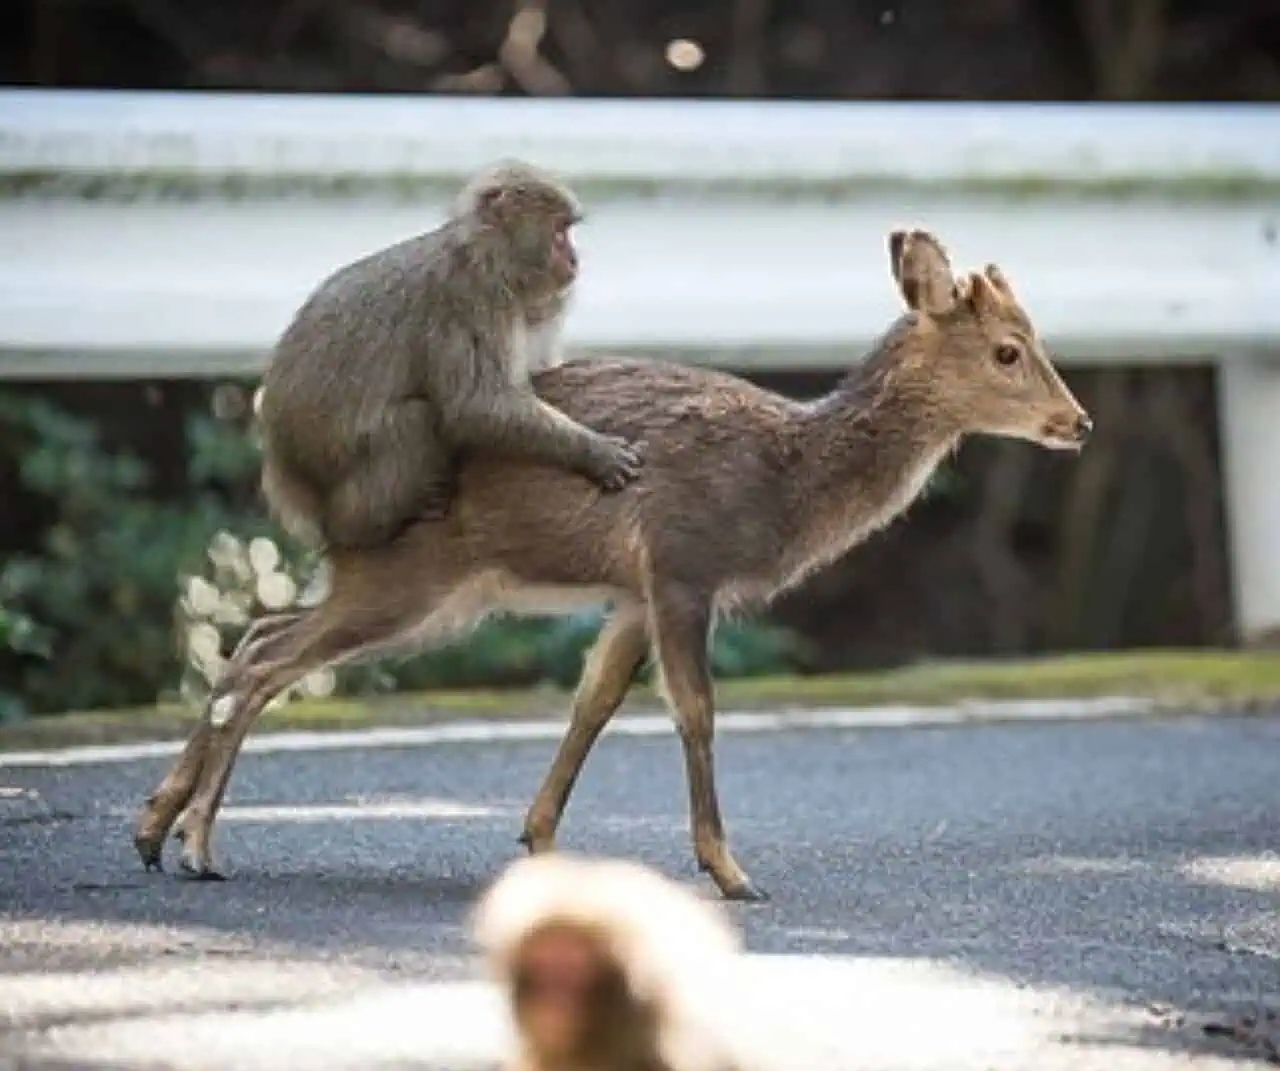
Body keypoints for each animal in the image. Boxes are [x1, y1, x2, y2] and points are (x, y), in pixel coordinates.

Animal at [255, 159, 644, 551]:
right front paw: (593, 451)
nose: (574, 260)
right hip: (331, 461)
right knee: (416, 419)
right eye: (560, 231)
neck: (488, 257)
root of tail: (284, 467)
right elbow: (475, 405)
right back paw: (359, 527)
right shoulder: (471, 299)